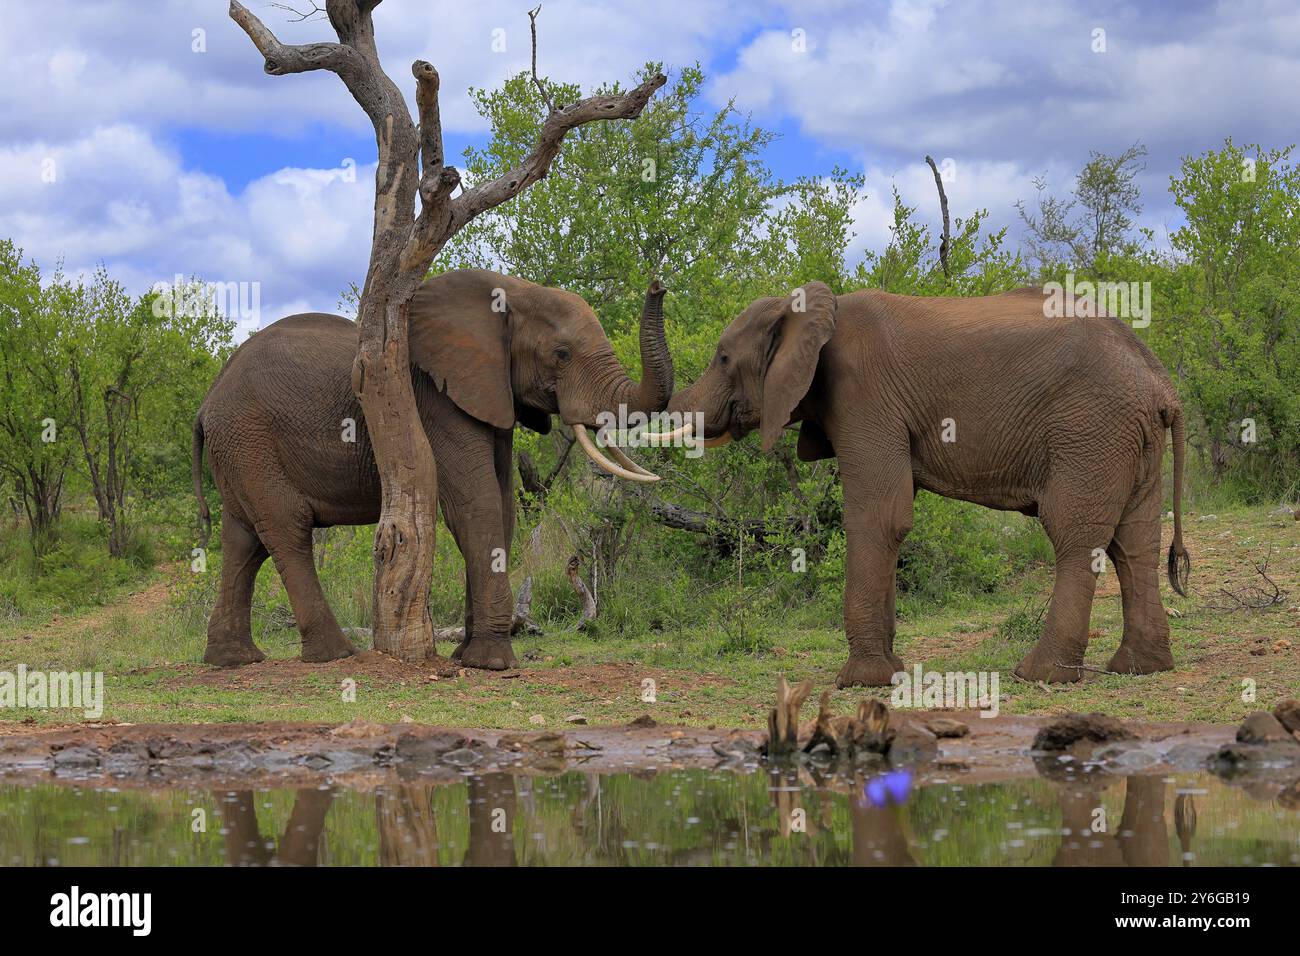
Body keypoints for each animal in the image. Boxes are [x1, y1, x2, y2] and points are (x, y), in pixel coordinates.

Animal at [198, 267, 681, 671]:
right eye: (562, 355)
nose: (658, 285)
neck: (513, 291)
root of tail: (206, 403)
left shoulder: (490, 394)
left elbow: (502, 508)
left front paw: (466, 656)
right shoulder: (436, 398)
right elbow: (475, 506)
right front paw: (493, 664)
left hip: (239, 449)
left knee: (244, 541)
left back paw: (234, 660)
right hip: (251, 439)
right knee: (287, 532)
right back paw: (336, 655)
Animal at [660, 283, 1190, 686]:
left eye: (722, 358)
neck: (808, 307)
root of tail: (1162, 383)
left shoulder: (863, 397)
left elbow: (879, 518)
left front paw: (861, 681)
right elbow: (893, 518)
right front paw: (890, 671)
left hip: (1091, 429)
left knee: (1075, 535)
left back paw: (1039, 675)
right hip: (1130, 438)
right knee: (1134, 541)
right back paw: (1139, 668)